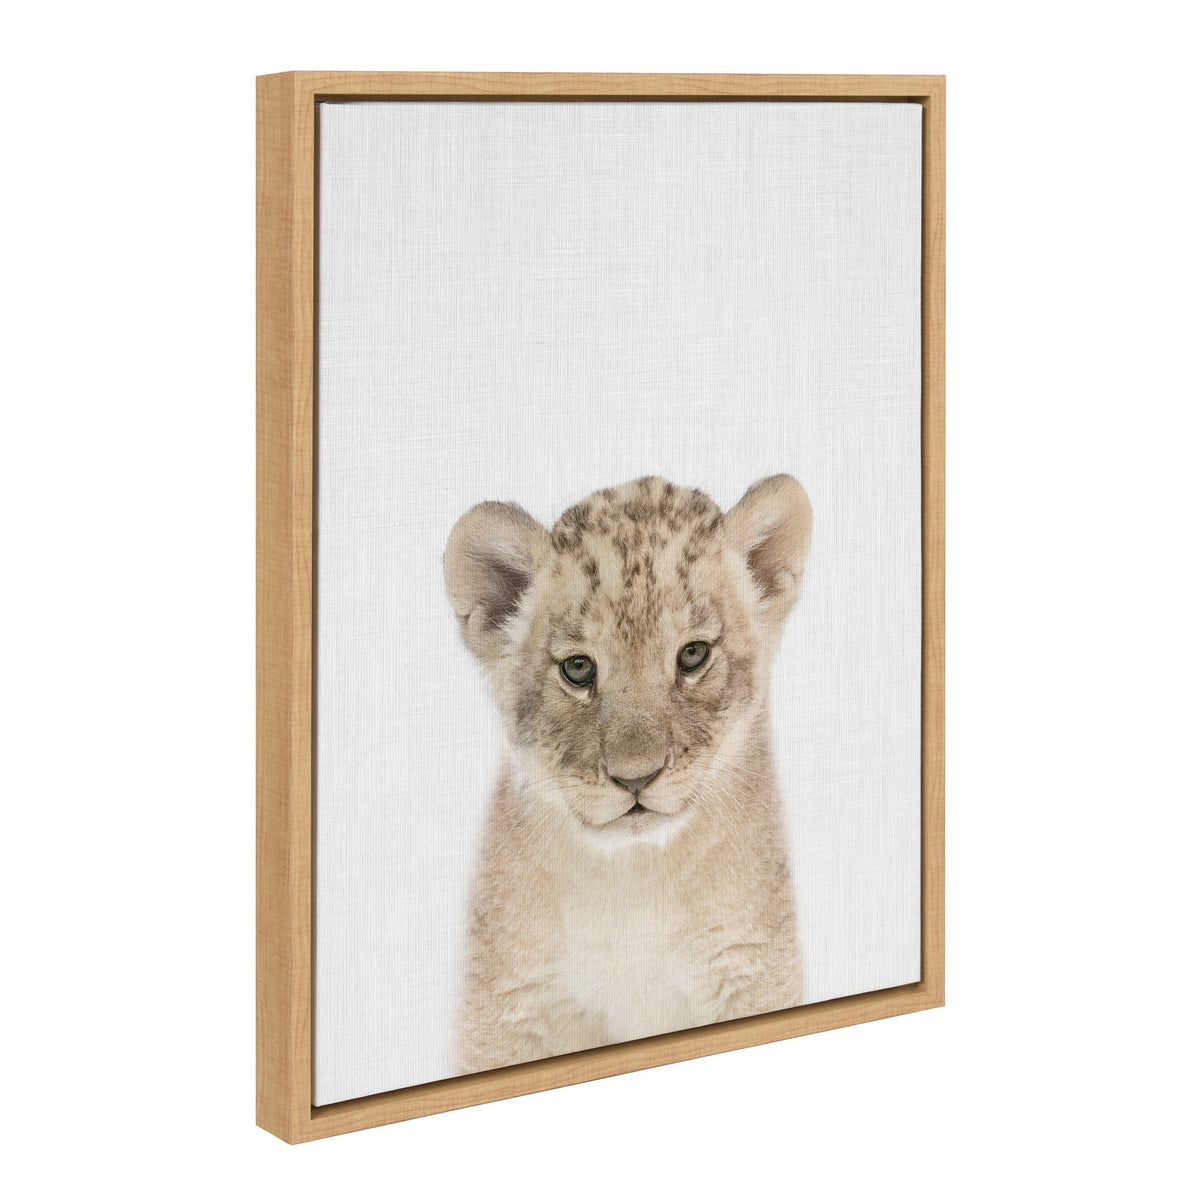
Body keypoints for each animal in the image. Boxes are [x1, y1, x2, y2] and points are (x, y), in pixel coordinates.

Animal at [443, 474, 813, 1073]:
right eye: (578, 668)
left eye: (693, 655)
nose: (636, 779)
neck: (633, 880)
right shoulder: (506, 1015)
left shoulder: (753, 973)